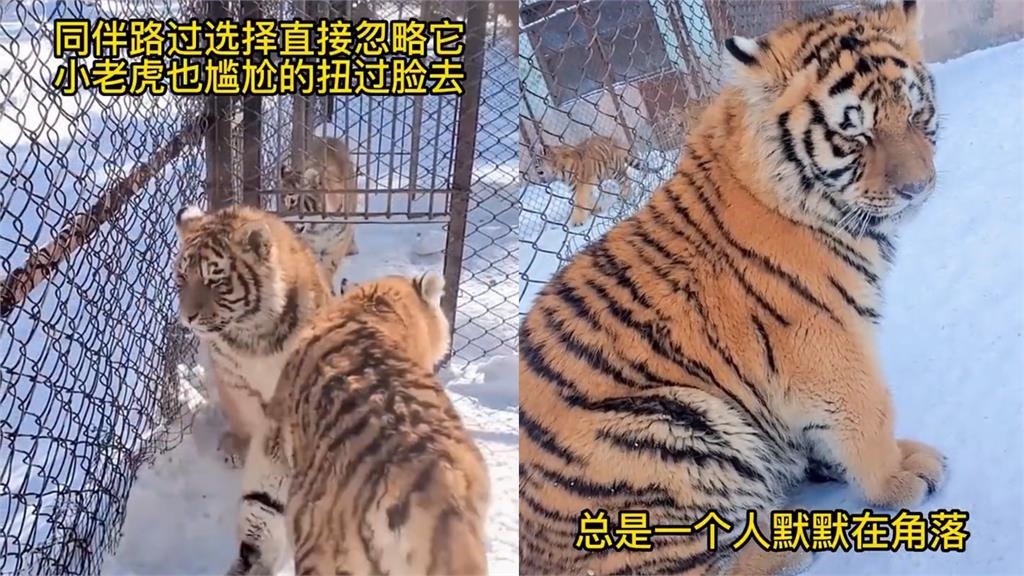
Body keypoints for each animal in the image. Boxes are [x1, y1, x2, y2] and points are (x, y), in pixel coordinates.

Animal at [174, 204, 332, 469]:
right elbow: (247, 416)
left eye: (214, 282)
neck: (252, 333)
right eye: (182, 277)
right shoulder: (232, 378)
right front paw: (243, 449)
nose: (187, 317)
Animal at [280, 134, 363, 295]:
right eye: (282, 202)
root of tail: (330, 137)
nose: (283, 222)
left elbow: (328, 267)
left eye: (293, 201)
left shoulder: (337, 245)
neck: (320, 227)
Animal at [532, 134, 661, 228]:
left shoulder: (581, 184)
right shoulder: (577, 187)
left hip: (614, 170)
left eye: (537, 166)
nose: (539, 178)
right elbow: (586, 199)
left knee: (625, 179)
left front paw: (577, 221)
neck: (559, 172)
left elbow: (579, 203)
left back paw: (625, 195)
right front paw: (595, 208)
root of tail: (608, 138)